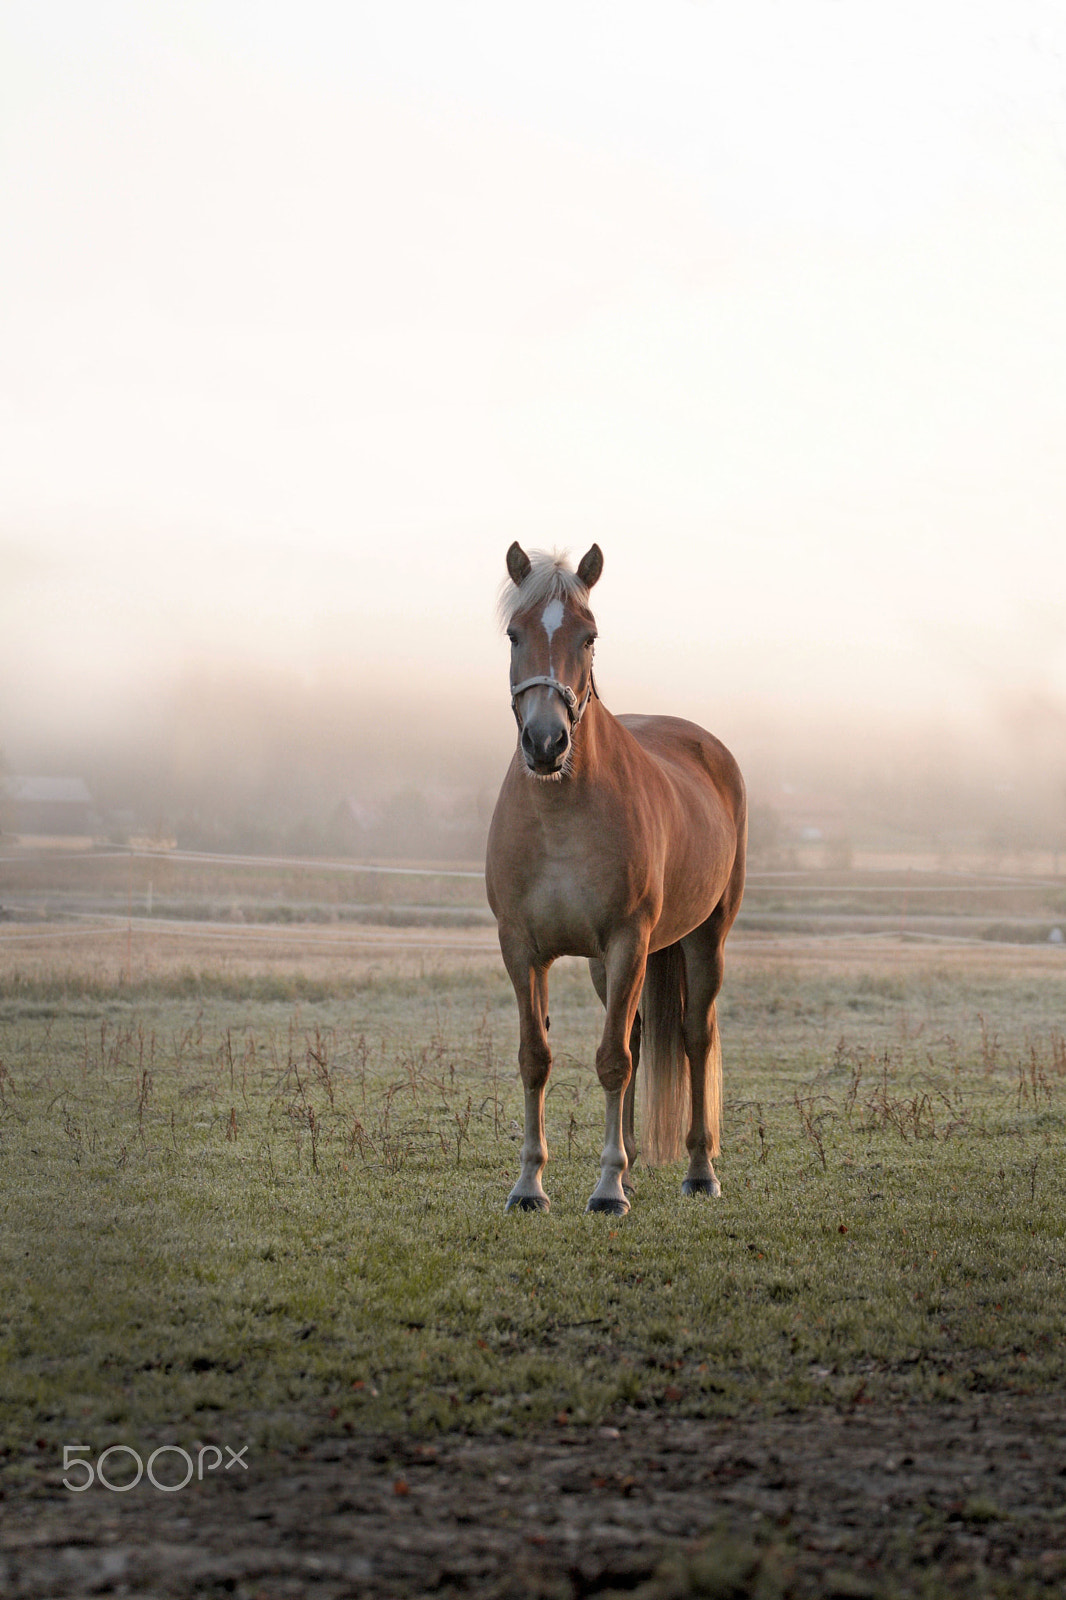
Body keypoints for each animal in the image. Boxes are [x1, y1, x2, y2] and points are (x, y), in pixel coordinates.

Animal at [483, 544, 742, 1216]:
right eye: (514, 634)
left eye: (589, 636)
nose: (546, 742)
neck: (561, 818)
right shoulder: (522, 948)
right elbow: (536, 1058)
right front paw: (530, 1185)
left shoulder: (628, 941)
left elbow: (613, 1062)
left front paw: (606, 1190)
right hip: (609, 967)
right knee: (641, 1032)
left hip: (704, 940)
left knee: (694, 1037)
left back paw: (698, 1171)